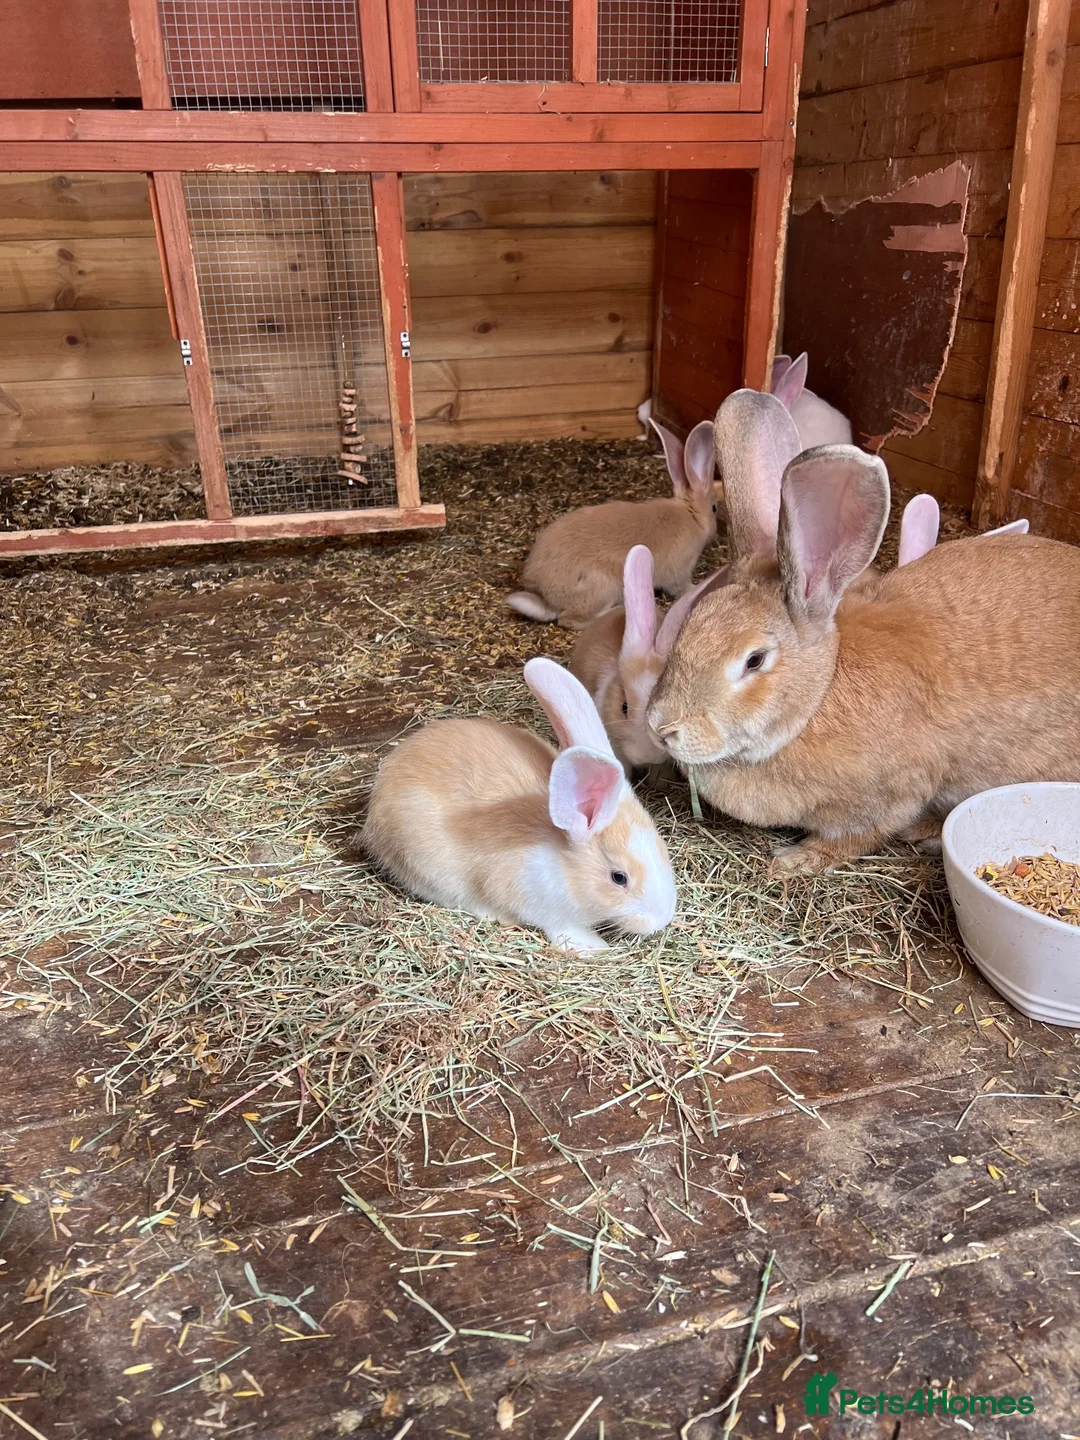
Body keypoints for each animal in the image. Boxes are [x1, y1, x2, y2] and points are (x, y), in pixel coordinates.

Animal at [362, 657, 677, 953]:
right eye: (619, 878)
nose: (660, 920)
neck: (564, 865)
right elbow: (562, 928)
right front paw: (590, 947)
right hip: (422, 862)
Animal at [506, 417, 718, 629]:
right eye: (715, 508)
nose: (715, 528)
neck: (691, 515)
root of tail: (545, 599)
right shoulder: (679, 573)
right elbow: (682, 587)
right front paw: (695, 587)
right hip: (603, 587)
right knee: (569, 619)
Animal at [645, 387, 1080, 876]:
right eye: (691, 623)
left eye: (754, 660)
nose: (661, 727)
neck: (814, 702)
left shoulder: (892, 795)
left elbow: (855, 836)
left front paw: (795, 860)